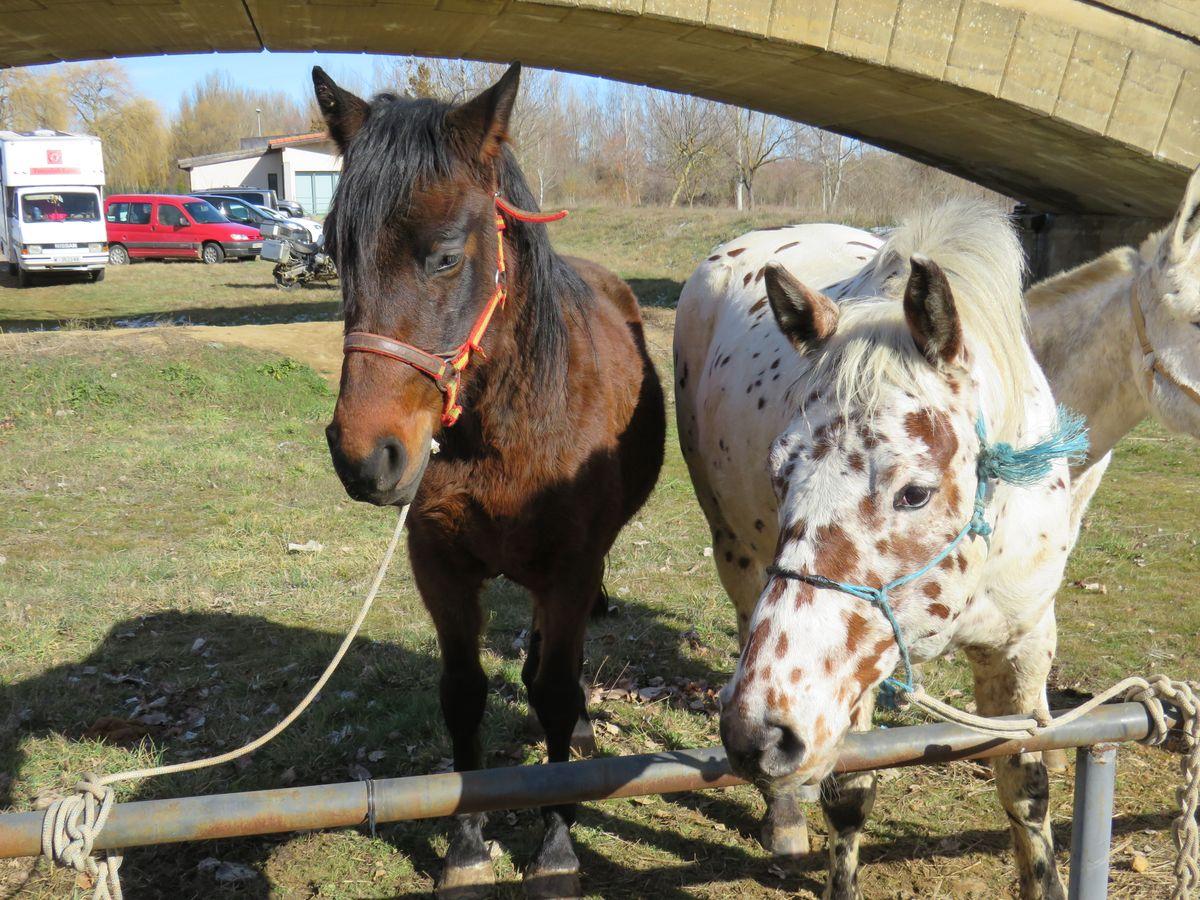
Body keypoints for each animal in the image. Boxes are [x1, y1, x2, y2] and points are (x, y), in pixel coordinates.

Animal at [312, 66, 667, 897]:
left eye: (444, 256)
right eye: (335, 249)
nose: (365, 455)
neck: (503, 431)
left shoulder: (570, 568)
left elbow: (556, 691)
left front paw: (558, 844)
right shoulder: (439, 566)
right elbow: (464, 695)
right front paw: (467, 844)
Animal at [676, 200, 1080, 897]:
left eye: (914, 493)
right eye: (780, 470)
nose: (757, 734)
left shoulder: (1023, 648)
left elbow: (1026, 790)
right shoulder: (853, 673)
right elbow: (849, 795)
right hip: (736, 557)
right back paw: (784, 817)